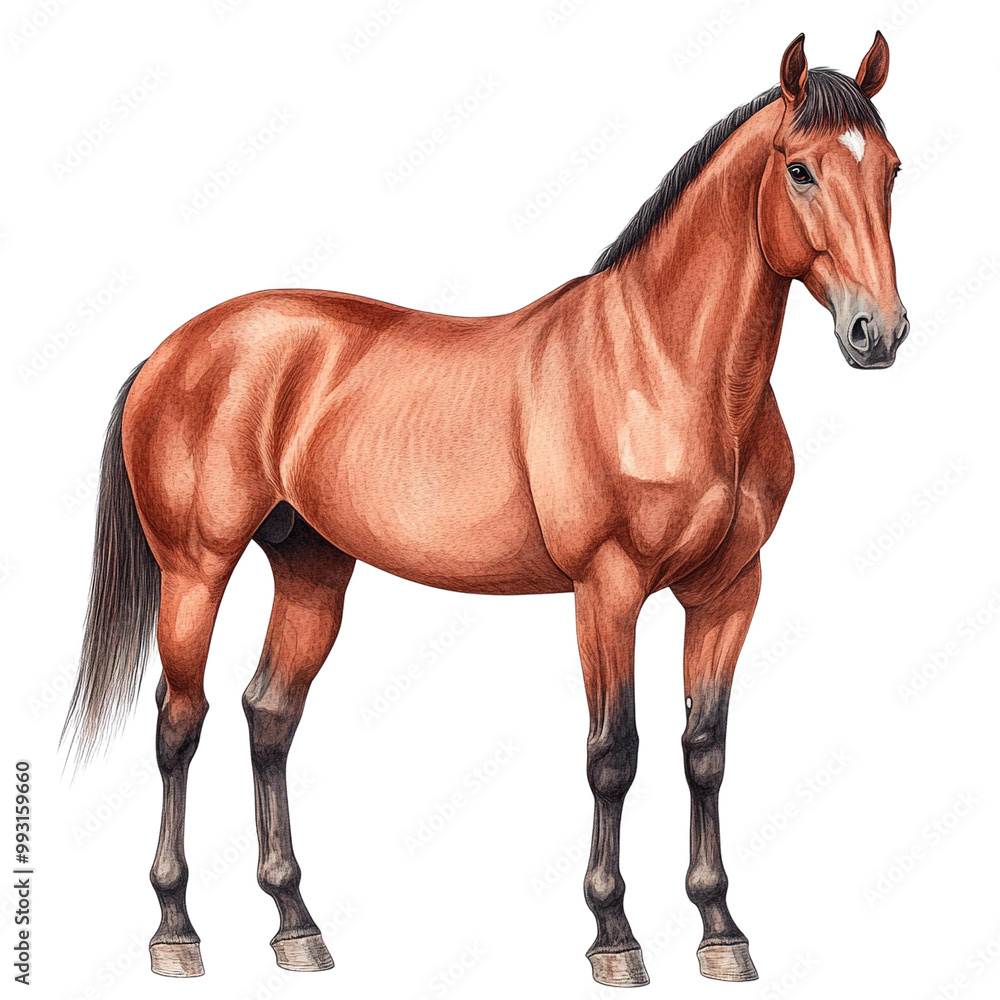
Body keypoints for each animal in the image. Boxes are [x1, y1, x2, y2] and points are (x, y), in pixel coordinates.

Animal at [62, 31, 907, 987]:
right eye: (799, 169)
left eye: (891, 169)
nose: (878, 331)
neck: (663, 365)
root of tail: (173, 348)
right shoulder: (607, 589)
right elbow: (614, 754)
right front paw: (614, 937)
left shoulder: (729, 592)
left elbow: (706, 753)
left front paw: (721, 931)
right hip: (195, 570)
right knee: (180, 723)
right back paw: (176, 931)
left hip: (311, 570)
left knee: (268, 716)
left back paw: (296, 927)